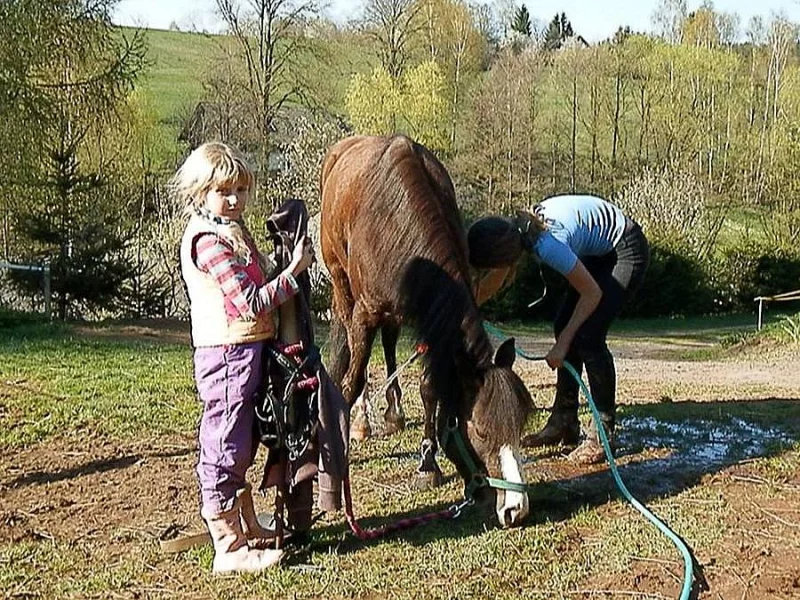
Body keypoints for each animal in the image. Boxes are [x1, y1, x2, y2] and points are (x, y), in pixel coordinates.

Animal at [320, 134, 533, 527]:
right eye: (480, 431)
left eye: (520, 427)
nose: (516, 509)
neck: (395, 220)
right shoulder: (365, 312)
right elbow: (353, 381)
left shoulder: (430, 317)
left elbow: (430, 387)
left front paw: (428, 464)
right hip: (343, 287)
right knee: (350, 352)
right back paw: (360, 421)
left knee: (389, 343)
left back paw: (393, 412)